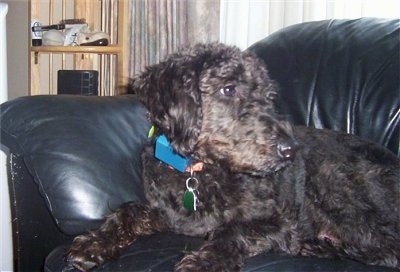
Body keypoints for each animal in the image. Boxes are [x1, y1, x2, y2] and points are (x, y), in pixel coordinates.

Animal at [67, 42, 398, 270]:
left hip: (334, 179)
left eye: (268, 97)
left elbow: (233, 229)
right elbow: (129, 210)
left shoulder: (280, 221)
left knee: (389, 249)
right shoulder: (170, 214)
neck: (199, 169)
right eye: (228, 89)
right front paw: (95, 242)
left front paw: (204, 261)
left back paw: (318, 248)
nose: (290, 150)